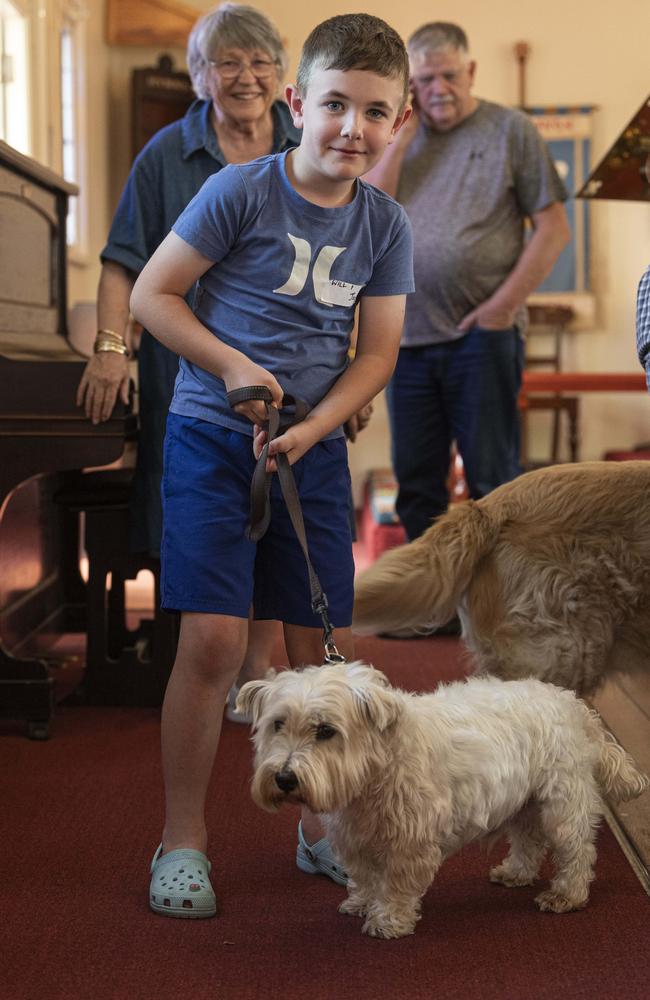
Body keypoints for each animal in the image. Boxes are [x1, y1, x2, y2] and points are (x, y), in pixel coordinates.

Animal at [235, 664, 644, 936]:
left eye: (325, 730)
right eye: (277, 724)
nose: (285, 778)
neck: (376, 769)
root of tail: (573, 704)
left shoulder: (411, 843)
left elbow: (397, 884)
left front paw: (388, 920)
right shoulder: (355, 840)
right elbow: (365, 878)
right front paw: (363, 904)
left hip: (562, 803)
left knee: (577, 851)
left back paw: (566, 896)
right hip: (524, 803)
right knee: (529, 842)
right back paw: (515, 873)